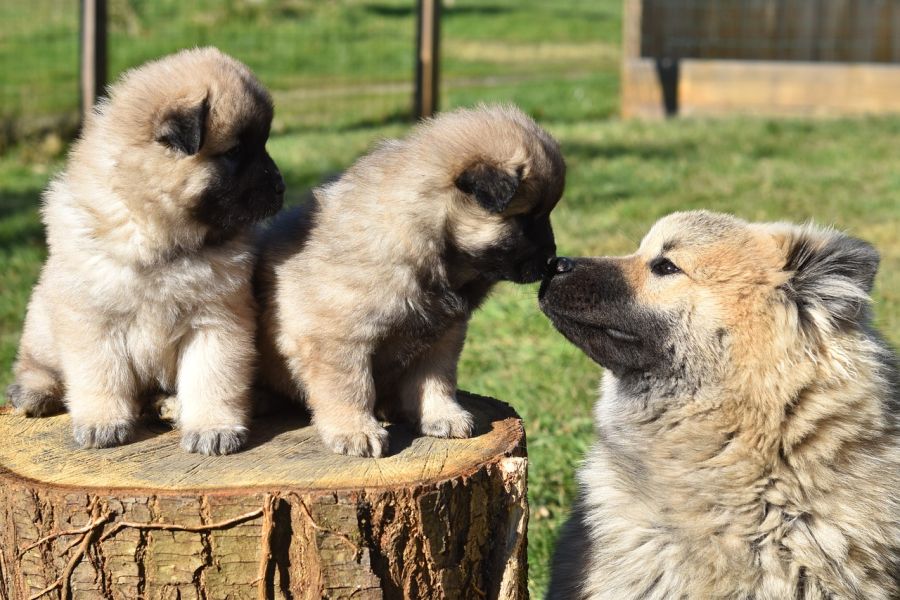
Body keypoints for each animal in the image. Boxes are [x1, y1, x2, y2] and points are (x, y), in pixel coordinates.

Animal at [5, 48, 284, 454]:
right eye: (234, 152)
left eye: (262, 144)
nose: (281, 186)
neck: (160, 239)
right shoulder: (93, 322)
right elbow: (100, 376)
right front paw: (102, 423)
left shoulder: (217, 320)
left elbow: (211, 378)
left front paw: (213, 428)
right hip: (43, 317)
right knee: (36, 365)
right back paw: (34, 392)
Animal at [253, 105, 564, 458]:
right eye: (526, 219)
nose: (552, 260)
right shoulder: (339, 339)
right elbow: (351, 388)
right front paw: (356, 431)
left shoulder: (442, 336)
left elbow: (436, 380)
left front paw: (442, 416)